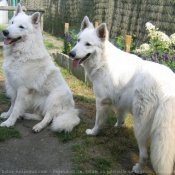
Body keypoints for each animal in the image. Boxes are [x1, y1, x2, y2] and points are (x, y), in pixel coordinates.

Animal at [0, 3, 80, 133]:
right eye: (12, 22)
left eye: (21, 27)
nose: (5, 32)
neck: (22, 52)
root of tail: (71, 109)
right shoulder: (14, 86)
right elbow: (12, 104)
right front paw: (7, 115)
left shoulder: (22, 89)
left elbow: (16, 107)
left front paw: (9, 122)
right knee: (39, 115)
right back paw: (25, 116)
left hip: (53, 98)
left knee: (48, 117)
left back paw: (38, 126)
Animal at [69, 15, 175, 174]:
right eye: (78, 40)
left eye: (88, 44)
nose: (71, 54)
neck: (103, 60)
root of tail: (168, 90)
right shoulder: (120, 101)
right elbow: (120, 115)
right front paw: (119, 125)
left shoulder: (102, 101)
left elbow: (98, 122)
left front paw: (93, 132)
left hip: (140, 125)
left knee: (144, 155)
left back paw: (138, 168)